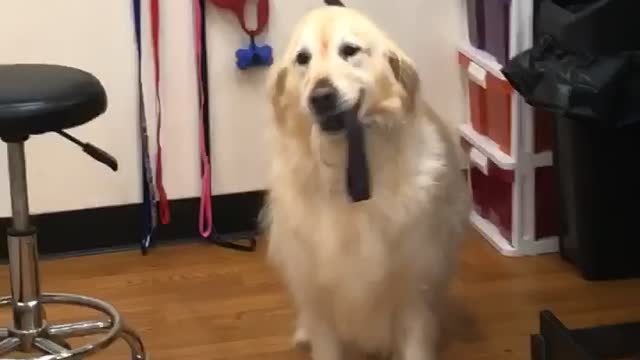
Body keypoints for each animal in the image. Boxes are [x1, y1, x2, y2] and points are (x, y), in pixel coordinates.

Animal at [262, 5, 472, 360]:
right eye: (302, 58)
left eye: (350, 50)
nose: (321, 96)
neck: (349, 163)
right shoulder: (318, 289)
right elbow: (324, 339)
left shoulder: (412, 286)